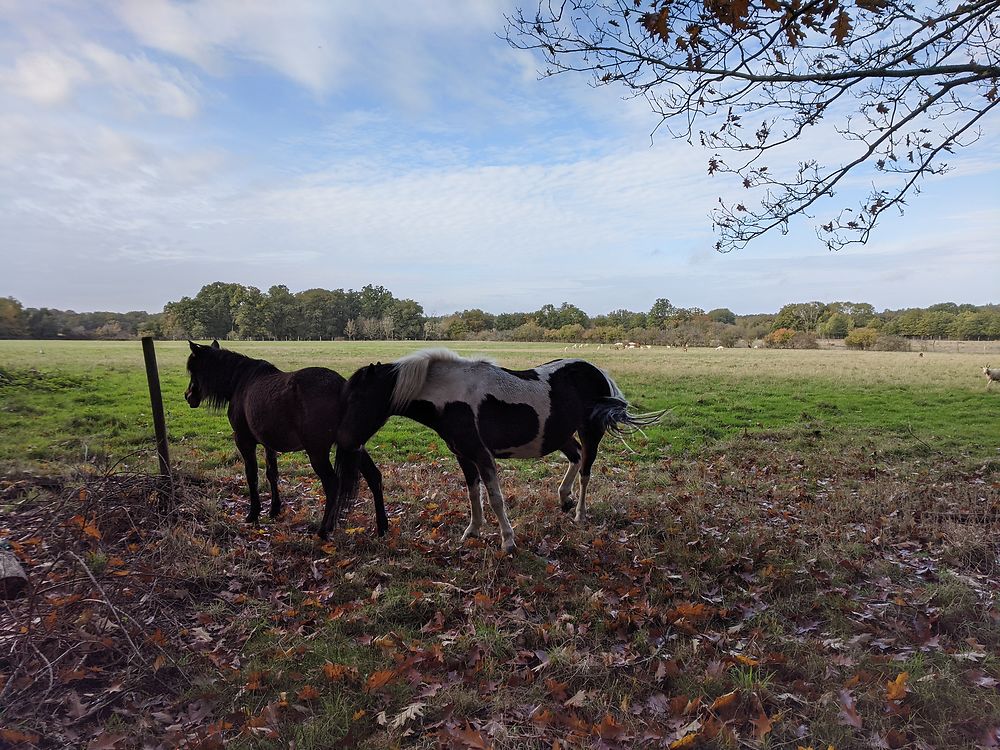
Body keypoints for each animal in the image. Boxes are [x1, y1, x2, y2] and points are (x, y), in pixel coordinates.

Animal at [184, 340, 386, 536]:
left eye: (193, 370)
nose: (188, 396)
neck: (241, 383)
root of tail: (342, 387)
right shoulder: (269, 443)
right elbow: (272, 473)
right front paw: (274, 509)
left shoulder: (244, 441)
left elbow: (252, 475)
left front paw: (253, 513)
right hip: (353, 444)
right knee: (374, 477)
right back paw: (382, 527)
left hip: (317, 451)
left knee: (332, 484)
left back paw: (323, 530)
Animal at [322, 352, 664, 552]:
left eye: (359, 399)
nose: (342, 440)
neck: (449, 394)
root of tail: (597, 371)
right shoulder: (463, 454)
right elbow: (474, 493)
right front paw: (472, 530)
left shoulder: (481, 454)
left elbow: (496, 497)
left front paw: (507, 540)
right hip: (558, 435)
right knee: (576, 457)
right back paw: (563, 498)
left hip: (590, 431)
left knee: (586, 470)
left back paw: (579, 512)